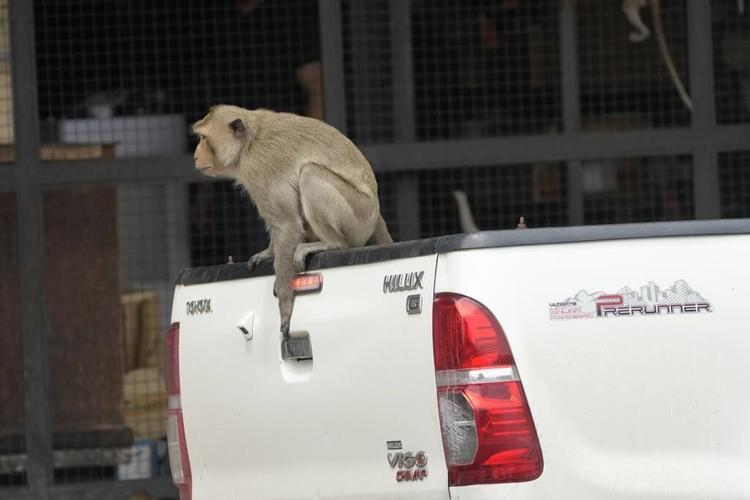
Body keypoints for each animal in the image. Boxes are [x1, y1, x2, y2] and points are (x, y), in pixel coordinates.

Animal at [192, 105, 393, 337]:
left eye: (204, 138)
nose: (195, 156)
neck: (249, 142)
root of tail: (376, 214)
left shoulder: (258, 166)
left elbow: (287, 225)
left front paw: (286, 305)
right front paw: (269, 252)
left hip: (358, 217)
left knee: (310, 174)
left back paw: (332, 243)